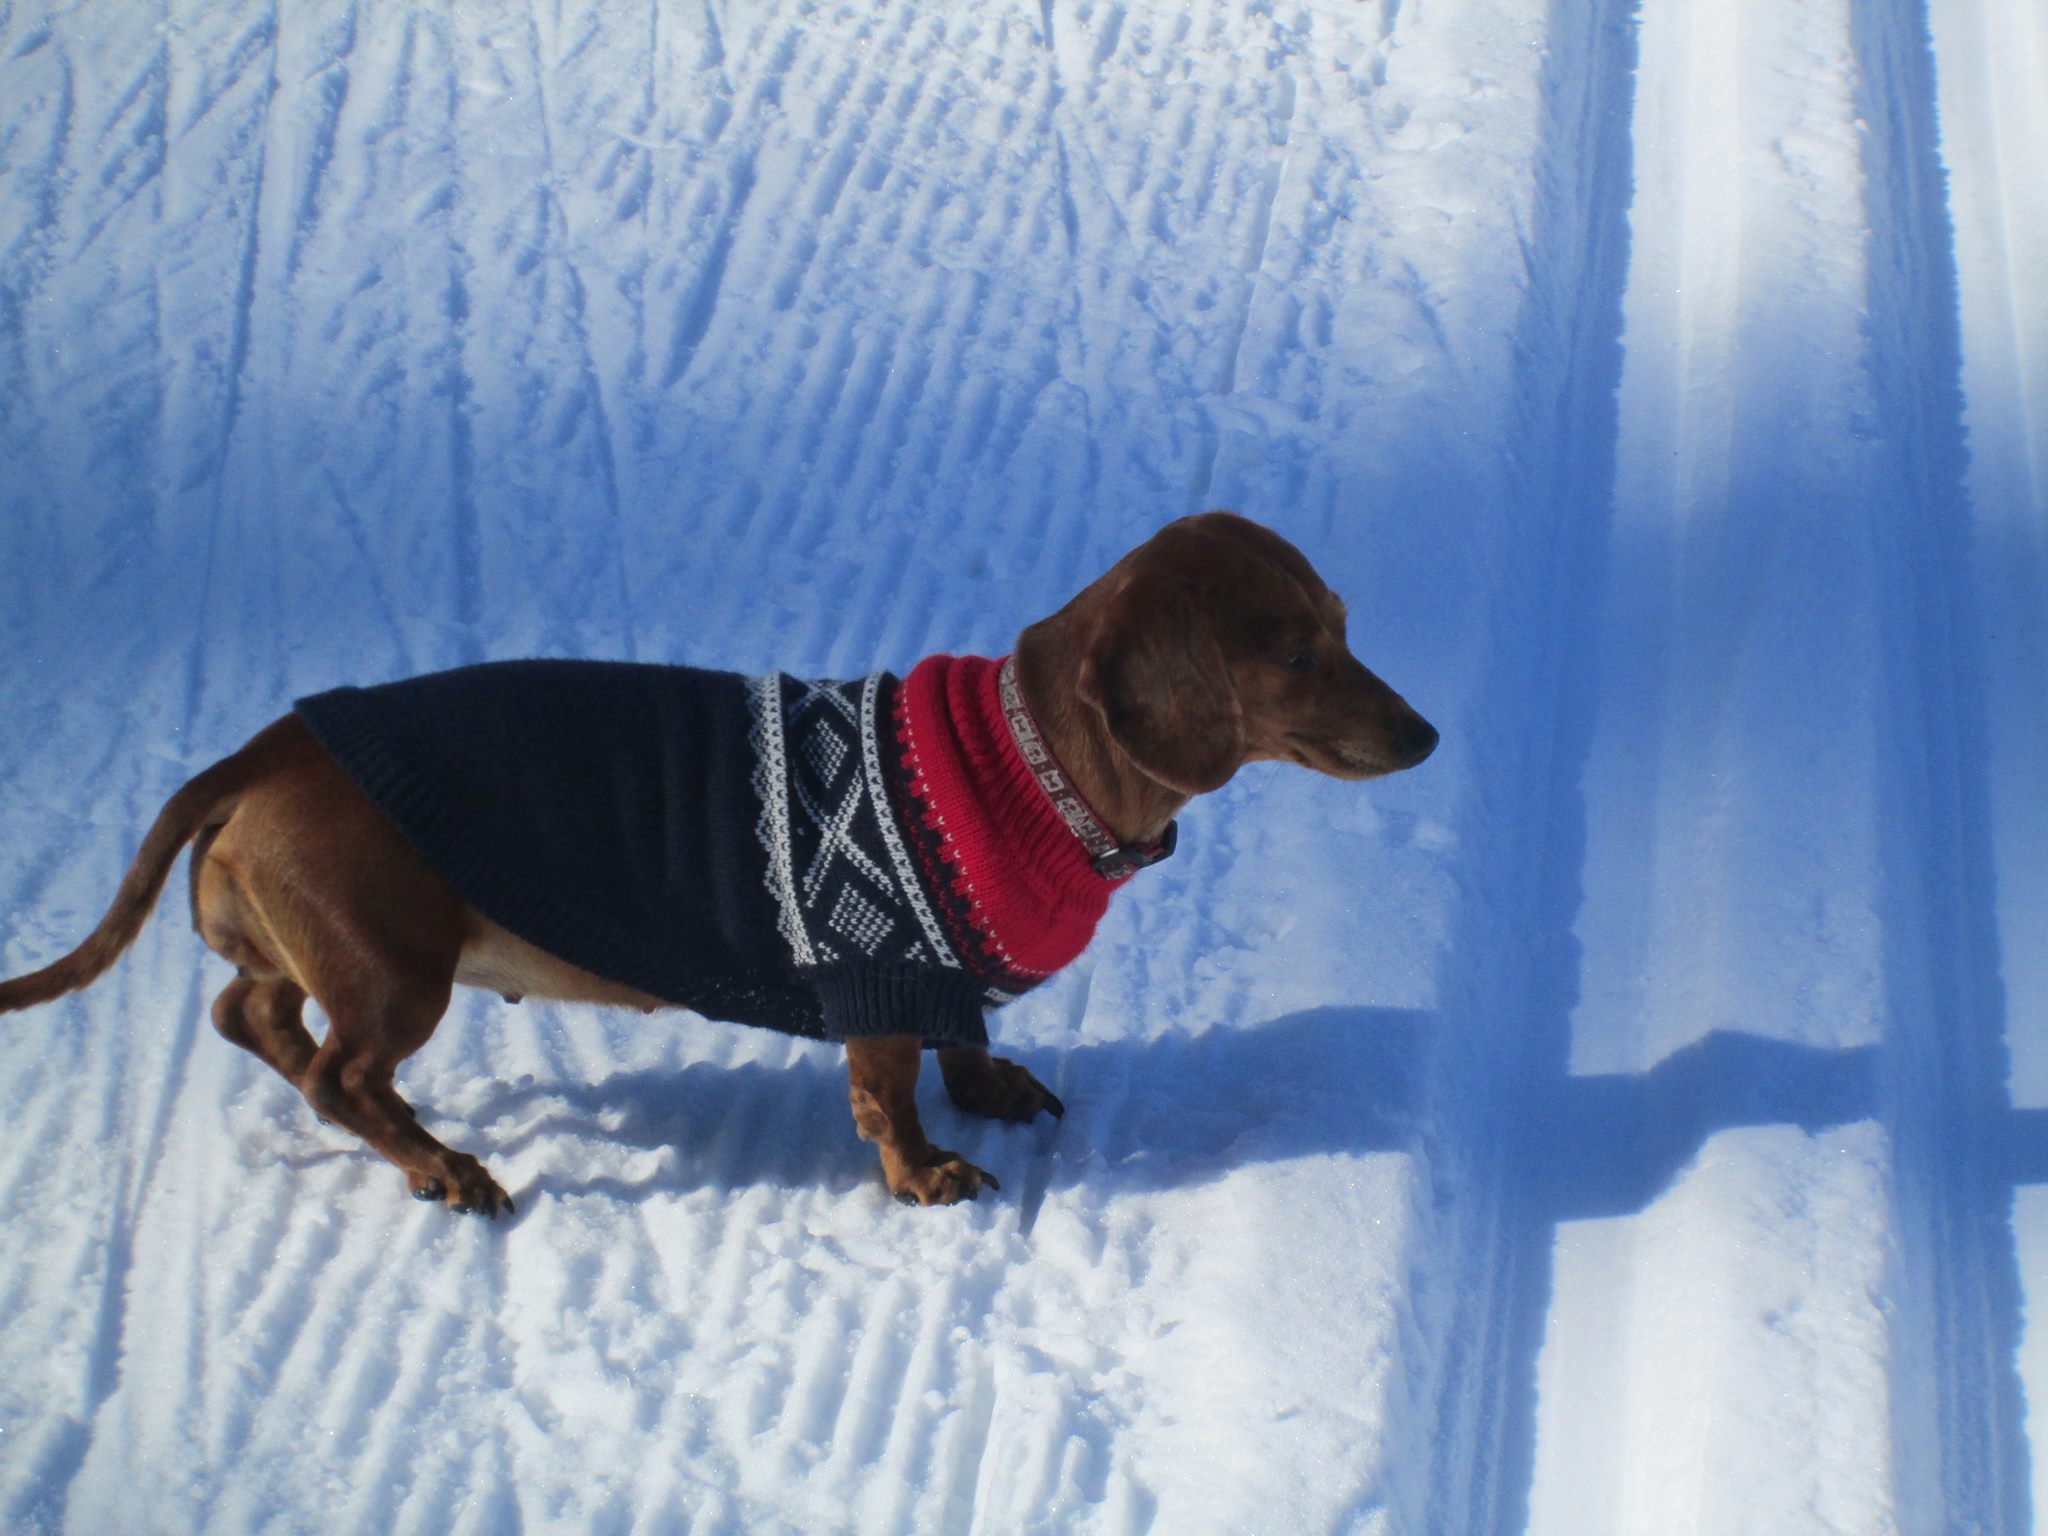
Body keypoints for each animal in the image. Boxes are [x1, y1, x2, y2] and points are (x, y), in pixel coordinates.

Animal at [0, 518, 1441, 1212]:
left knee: (250, 1015)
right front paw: (926, 1178)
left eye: (1345, 622)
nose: (1428, 736)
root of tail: (269, 745)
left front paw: (993, 1091)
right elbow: (889, 1097)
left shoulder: (946, 980)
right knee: (340, 1076)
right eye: (1295, 653)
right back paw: (441, 1166)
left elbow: (966, 1040)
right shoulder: (879, 984)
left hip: (317, 951)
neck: (1025, 764)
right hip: (395, 969)